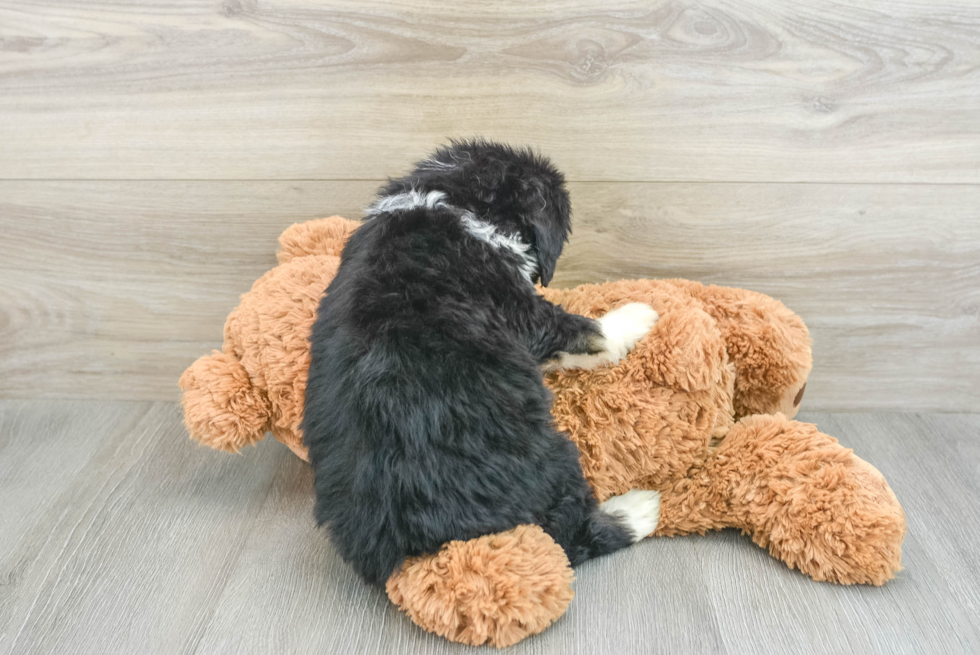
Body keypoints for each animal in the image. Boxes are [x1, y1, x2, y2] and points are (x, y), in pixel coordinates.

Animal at [306, 141, 660, 588]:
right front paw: (636, 316)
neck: (454, 203)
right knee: (569, 535)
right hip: (555, 457)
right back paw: (639, 510)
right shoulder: (520, 311)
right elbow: (581, 331)